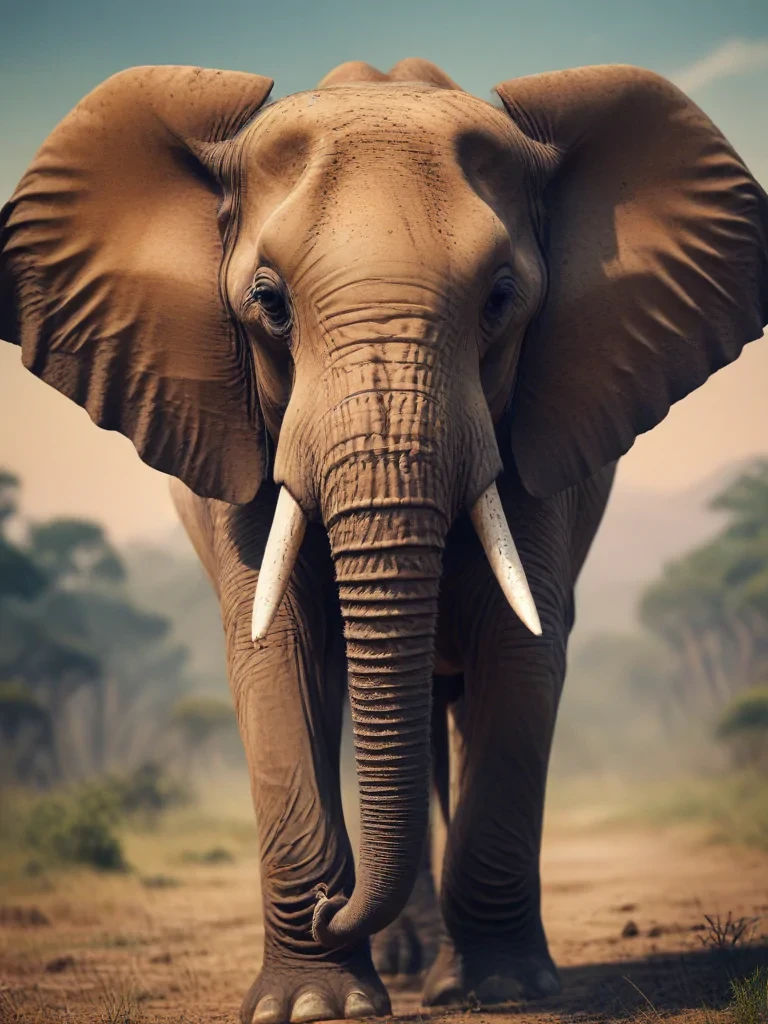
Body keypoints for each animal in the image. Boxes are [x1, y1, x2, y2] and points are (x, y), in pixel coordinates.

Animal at [1, 55, 767, 1023]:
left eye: (502, 301)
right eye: (269, 305)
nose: (331, 904)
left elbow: (518, 651)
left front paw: (500, 990)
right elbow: (277, 654)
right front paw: (314, 1005)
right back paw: (401, 963)